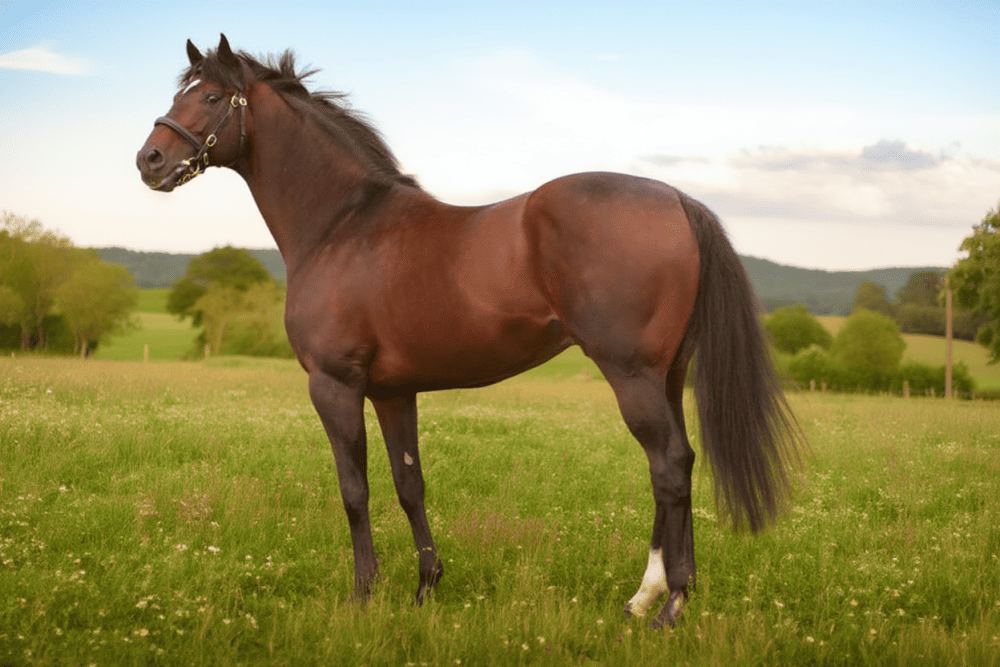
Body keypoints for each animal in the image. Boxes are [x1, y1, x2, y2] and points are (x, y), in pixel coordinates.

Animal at [136, 34, 802, 629]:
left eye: (212, 96)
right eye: (181, 93)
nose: (149, 161)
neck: (342, 223)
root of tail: (678, 199)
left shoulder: (334, 385)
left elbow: (354, 489)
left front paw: (362, 595)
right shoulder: (392, 392)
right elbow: (409, 484)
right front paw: (425, 588)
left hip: (633, 376)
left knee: (668, 467)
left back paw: (666, 606)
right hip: (667, 377)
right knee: (680, 466)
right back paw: (650, 598)